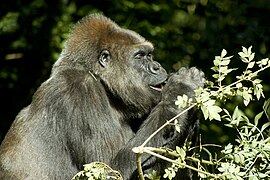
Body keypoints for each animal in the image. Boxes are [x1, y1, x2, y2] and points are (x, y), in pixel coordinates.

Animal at [0, 13, 204, 179]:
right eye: (139, 56)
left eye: (150, 55)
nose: (157, 67)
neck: (99, 80)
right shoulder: (80, 91)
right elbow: (109, 170)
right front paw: (181, 89)